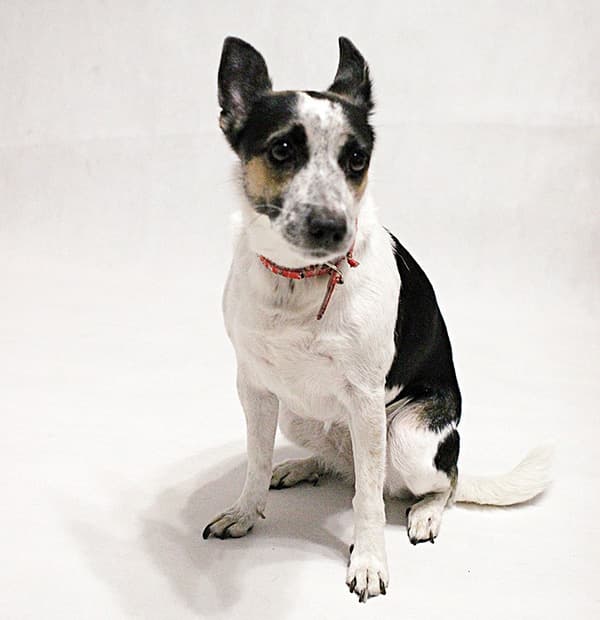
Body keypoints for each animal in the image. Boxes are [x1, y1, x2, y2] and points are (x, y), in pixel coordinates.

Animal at [204, 36, 552, 604]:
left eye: (356, 158)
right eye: (282, 150)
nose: (332, 227)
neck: (301, 281)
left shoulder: (366, 400)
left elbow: (366, 501)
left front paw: (367, 561)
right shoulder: (253, 387)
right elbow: (254, 462)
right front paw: (245, 512)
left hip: (406, 437)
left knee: (442, 482)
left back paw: (426, 511)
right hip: (299, 415)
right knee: (341, 466)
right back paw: (302, 466)